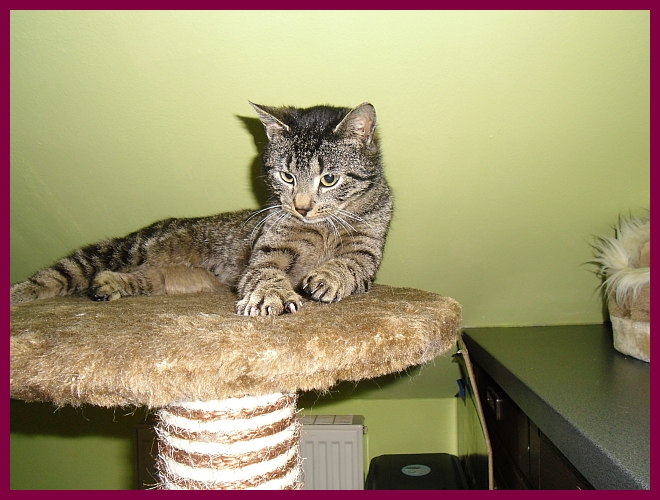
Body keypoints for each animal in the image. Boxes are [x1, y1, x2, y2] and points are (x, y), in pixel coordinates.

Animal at [10, 102, 393, 316]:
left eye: (329, 179)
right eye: (286, 176)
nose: (301, 208)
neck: (323, 228)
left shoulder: (368, 252)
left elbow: (351, 263)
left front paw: (328, 277)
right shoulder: (269, 248)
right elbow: (267, 270)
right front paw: (272, 295)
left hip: (174, 278)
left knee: (145, 277)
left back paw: (108, 284)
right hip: (130, 249)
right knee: (61, 271)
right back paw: (21, 294)